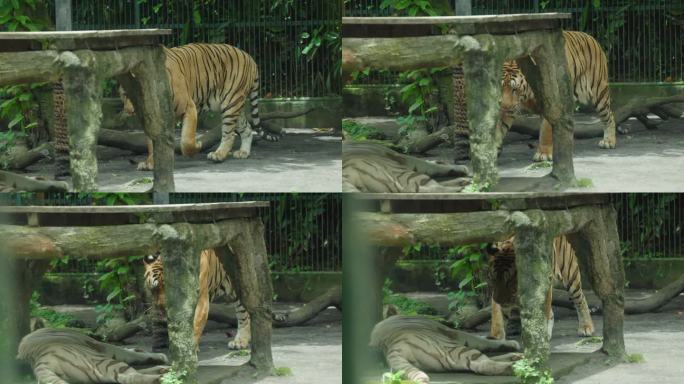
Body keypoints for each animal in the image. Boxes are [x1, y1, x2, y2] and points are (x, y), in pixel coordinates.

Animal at [17, 328, 168, 384]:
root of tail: (39, 361)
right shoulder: (102, 346)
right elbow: (128, 353)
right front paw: (160, 355)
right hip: (98, 361)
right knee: (130, 376)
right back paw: (161, 376)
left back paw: (162, 370)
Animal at [124, 42, 280, 171]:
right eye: (126, 94)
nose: (130, 111)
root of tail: (249, 57)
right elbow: (152, 144)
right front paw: (150, 163)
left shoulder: (189, 107)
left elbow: (186, 140)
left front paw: (197, 146)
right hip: (236, 105)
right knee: (247, 128)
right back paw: (243, 152)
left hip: (230, 103)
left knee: (229, 134)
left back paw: (219, 154)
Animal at [342, 142, 470, 192]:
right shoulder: (402, 158)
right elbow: (428, 164)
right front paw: (461, 168)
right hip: (399, 173)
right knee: (422, 187)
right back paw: (461, 186)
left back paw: (462, 182)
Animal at [372, 314, 520, 382]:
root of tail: (392, 347)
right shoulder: (456, 333)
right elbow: (482, 340)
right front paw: (512, 343)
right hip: (451, 349)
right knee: (483, 364)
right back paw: (514, 367)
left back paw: (515, 358)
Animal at [494, 30, 616, 161]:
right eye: (501, 88)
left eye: (515, 89)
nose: (504, 106)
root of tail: (591, 37)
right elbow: (499, 128)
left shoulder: (550, 103)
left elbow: (545, 130)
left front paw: (543, 154)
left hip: (599, 93)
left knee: (609, 116)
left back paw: (609, 141)